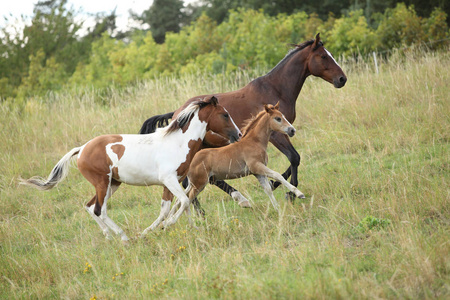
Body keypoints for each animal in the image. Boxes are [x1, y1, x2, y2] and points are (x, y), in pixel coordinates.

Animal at [20, 96, 243, 241]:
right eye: (224, 114)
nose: (239, 135)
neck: (177, 143)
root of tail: (82, 149)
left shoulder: (171, 183)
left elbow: (174, 206)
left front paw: (187, 228)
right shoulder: (169, 179)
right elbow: (184, 202)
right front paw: (166, 226)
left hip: (112, 184)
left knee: (90, 207)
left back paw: (109, 236)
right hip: (102, 183)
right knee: (100, 210)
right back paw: (123, 237)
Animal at [141, 33, 348, 209]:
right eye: (323, 56)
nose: (342, 79)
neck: (275, 88)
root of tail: (177, 113)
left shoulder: (282, 131)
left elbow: (291, 161)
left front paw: (275, 185)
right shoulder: (276, 134)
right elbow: (294, 157)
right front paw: (289, 192)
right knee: (193, 181)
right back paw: (219, 206)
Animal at [167, 103, 304, 223]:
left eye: (284, 116)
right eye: (278, 118)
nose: (292, 130)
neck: (254, 141)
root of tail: (191, 159)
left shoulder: (257, 172)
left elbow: (268, 189)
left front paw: (277, 209)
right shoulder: (257, 166)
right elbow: (277, 175)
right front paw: (299, 194)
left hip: (195, 183)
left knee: (181, 199)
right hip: (199, 183)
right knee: (188, 199)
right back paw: (171, 222)